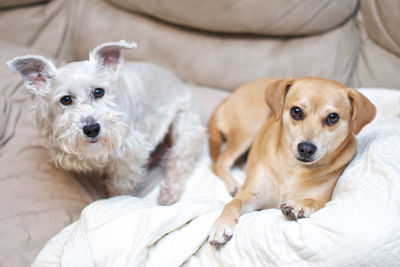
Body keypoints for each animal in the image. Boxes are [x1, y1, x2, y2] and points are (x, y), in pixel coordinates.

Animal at [7, 40, 205, 206]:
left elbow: (122, 183)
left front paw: (118, 199)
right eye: (66, 99)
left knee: (178, 163)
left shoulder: (128, 151)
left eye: (98, 91)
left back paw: (168, 192)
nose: (92, 129)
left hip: (185, 130)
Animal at [208, 77, 376, 245]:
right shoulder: (254, 196)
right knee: (220, 163)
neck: (294, 169)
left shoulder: (323, 199)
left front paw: (299, 206)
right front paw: (221, 225)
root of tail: (227, 98)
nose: (306, 148)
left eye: (333, 117)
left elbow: (313, 201)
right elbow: (233, 203)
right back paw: (234, 185)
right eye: (296, 111)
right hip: (248, 129)